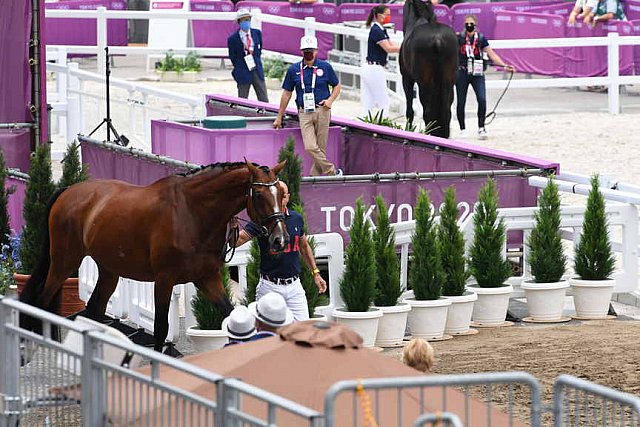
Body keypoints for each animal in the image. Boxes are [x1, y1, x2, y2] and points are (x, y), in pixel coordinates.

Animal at [20, 160, 288, 352]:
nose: (279, 239)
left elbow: (231, 313)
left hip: (109, 270)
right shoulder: (164, 280)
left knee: (95, 307)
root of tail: (68, 191)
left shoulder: (207, 278)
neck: (192, 214)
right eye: (260, 195)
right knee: (43, 298)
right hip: (65, 261)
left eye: (280, 195)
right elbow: (160, 328)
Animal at [402, 0, 458, 139]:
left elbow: (410, 110)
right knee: (446, 112)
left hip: (425, 84)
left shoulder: (406, 78)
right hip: (448, 82)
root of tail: (437, 39)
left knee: (427, 112)